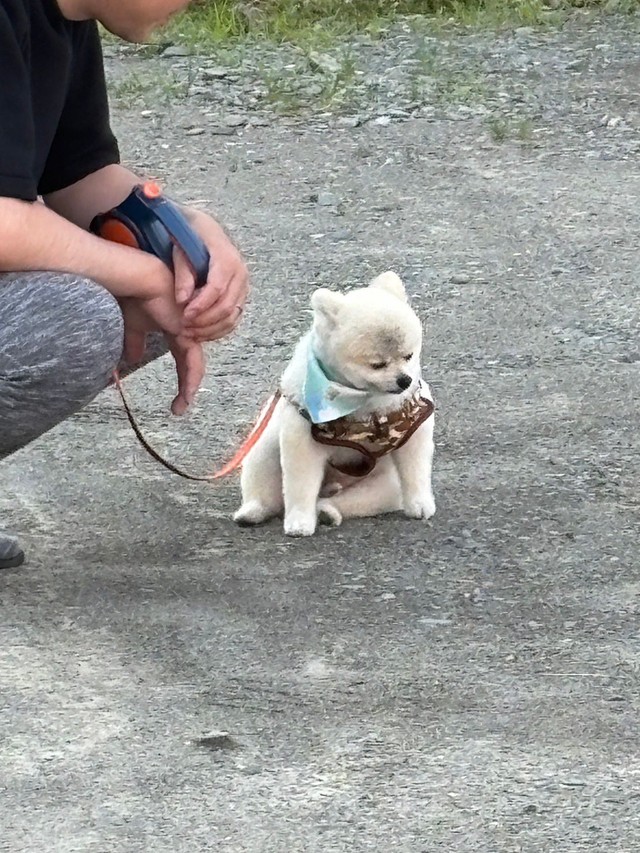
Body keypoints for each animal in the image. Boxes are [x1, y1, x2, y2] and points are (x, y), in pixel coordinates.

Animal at [232, 270, 438, 536]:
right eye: (377, 365)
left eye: (409, 356)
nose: (404, 380)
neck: (359, 401)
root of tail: (332, 485)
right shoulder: (302, 434)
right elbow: (300, 484)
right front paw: (299, 521)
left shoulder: (412, 421)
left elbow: (416, 468)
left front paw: (420, 504)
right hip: (265, 447)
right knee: (267, 489)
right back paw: (253, 511)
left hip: (383, 486)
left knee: (347, 500)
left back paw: (327, 511)